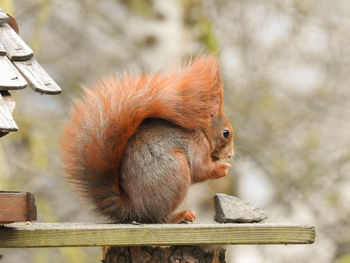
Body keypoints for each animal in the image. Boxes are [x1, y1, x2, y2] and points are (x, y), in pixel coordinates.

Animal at [61, 54, 234, 224]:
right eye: (226, 133)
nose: (231, 155)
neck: (203, 132)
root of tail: (133, 208)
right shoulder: (197, 145)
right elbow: (200, 169)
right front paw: (222, 168)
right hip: (176, 171)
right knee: (159, 217)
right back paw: (180, 216)